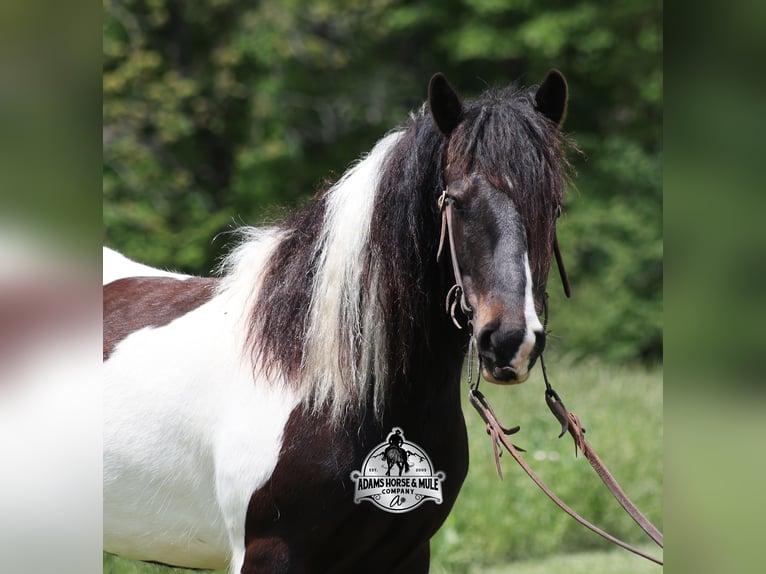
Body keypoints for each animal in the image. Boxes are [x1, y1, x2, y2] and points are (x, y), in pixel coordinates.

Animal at [103, 70, 571, 574]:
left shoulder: (407, 554)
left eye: (553, 206)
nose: (510, 342)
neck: (326, 388)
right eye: (458, 201)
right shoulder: (268, 555)